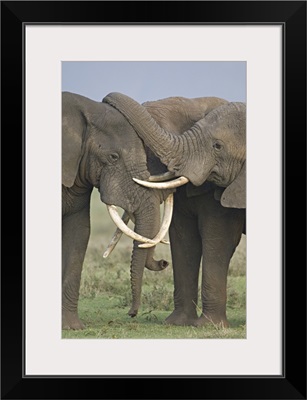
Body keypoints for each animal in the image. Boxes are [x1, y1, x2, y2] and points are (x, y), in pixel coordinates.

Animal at [103, 94, 248, 328]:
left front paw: (207, 326)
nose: (162, 263)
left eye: (217, 146)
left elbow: (219, 239)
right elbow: (183, 238)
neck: (193, 103)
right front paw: (177, 323)